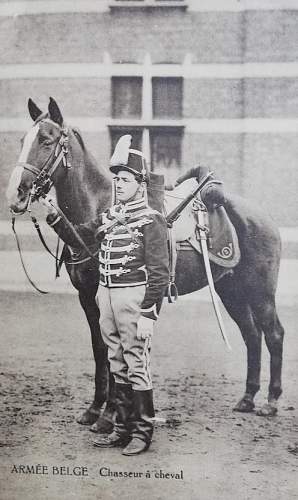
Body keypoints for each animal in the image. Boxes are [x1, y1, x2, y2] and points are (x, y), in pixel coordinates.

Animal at [6, 96, 284, 418]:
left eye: (47, 140)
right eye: (22, 140)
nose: (16, 194)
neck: (101, 208)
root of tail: (263, 215)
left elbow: (117, 352)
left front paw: (113, 410)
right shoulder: (88, 297)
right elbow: (100, 349)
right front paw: (96, 408)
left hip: (260, 292)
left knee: (274, 334)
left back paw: (271, 401)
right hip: (231, 290)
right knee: (252, 334)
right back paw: (248, 398)